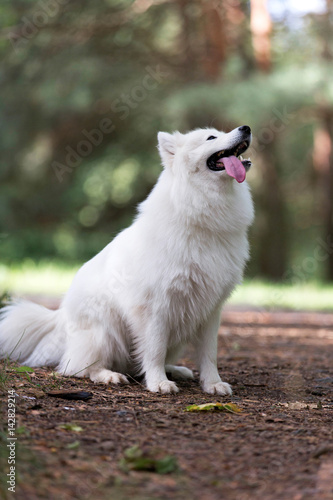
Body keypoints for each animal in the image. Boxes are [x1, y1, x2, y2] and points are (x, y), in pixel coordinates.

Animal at [0, 126, 254, 394]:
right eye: (211, 137)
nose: (245, 128)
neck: (200, 215)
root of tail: (60, 317)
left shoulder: (211, 310)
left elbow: (209, 354)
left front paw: (212, 384)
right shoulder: (156, 307)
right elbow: (154, 349)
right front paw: (158, 383)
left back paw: (175, 370)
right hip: (104, 332)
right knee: (78, 367)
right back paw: (109, 375)